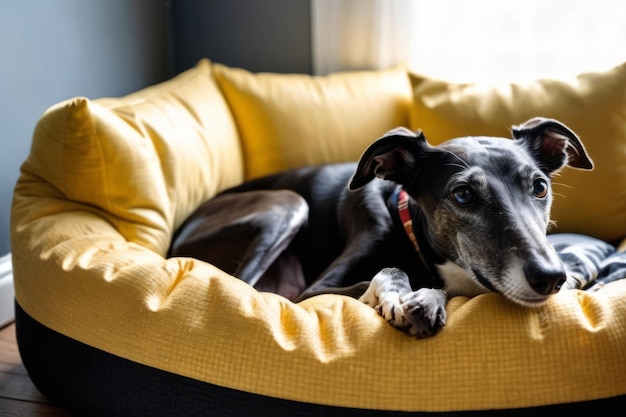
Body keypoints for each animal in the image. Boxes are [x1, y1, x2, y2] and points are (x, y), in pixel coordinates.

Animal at [167, 115, 600, 336]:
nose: (551, 278)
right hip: (287, 205)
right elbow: (389, 272)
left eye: (540, 187)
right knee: (248, 285)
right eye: (462, 195)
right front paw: (404, 295)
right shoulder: (313, 292)